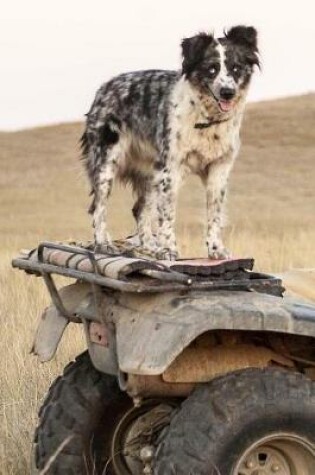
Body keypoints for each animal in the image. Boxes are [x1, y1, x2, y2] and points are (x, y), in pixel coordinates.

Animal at [81, 25, 260, 260]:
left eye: (236, 68)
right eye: (211, 69)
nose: (227, 92)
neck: (207, 119)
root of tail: (104, 88)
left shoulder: (219, 168)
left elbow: (214, 214)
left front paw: (216, 249)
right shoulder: (170, 168)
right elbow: (167, 214)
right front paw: (168, 249)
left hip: (150, 172)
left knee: (139, 209)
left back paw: (148, 248)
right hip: (107, 163)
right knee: (98, 207)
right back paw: (104, 243)